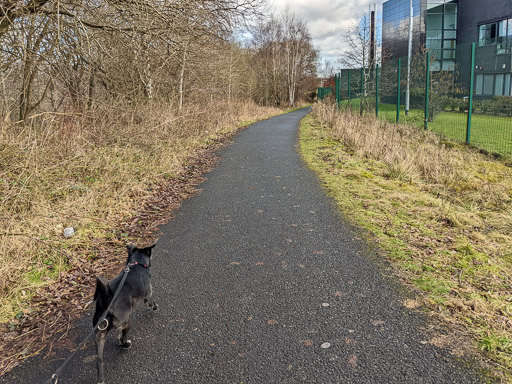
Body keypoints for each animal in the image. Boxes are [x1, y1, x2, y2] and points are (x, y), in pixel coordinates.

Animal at [91, 243, 156, 384]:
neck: (137, 264)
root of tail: (107, 300)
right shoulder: (148, 295)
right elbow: (151, 303)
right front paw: (155, 307)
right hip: (125, 323)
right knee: (123, 337)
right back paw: (126, 344)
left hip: (99, 334)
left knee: (99, 361)